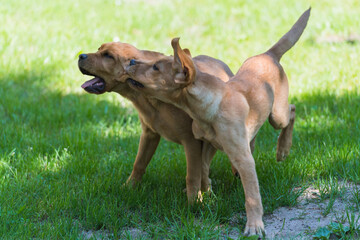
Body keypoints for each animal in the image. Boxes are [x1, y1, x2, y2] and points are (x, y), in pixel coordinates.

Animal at [77, 42, 233, 202]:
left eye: (108, 55)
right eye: (99, 49)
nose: (80, 56)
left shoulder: (191, 142)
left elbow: (193, 175)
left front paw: (194, 202)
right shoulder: (149, 134)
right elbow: (139, 163)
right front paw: (128, 188)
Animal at [125, 8, 310, 236]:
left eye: (156, 67)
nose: (131, 62)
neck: (209, 107)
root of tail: (268, 54)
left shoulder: (243, 158)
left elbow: (252, 196)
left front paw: (254, 226)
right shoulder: (208, 144)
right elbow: (203, 169)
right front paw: (207, 197)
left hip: (277, 115)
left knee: (292, 110)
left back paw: (283, 149)